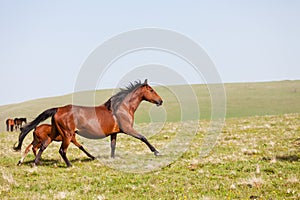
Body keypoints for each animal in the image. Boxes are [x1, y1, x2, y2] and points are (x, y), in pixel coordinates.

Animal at [13, 79, 164, 167]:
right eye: (151, 90)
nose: (160, 101)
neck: (122, 107)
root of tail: (58, 109)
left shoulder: (114, 133)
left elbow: (113, 146)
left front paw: (112, 159)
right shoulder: (127, 129)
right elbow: (143, 138)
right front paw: (156, 152)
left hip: (54, 133)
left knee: (42, 147)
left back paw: (35, 164)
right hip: (67, 135)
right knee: (61, 150)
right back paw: (69, 165)